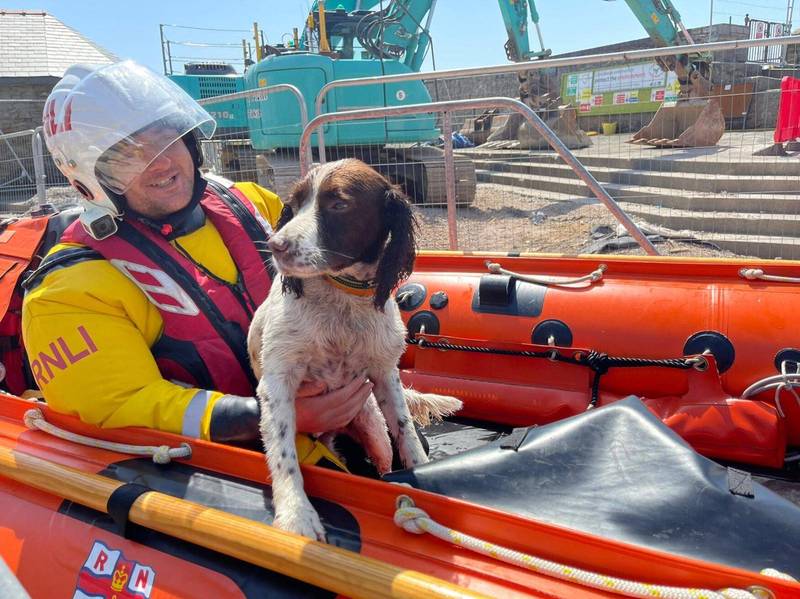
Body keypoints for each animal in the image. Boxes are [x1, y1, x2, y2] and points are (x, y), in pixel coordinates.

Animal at [250, 159, 462, 544]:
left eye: (339, 204)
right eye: (295, 204)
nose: (276, 245)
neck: (342, 297)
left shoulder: (385, 373)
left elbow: (406, 434)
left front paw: (423, 476)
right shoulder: (277, 382)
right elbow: (284, 455)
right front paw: (296, 514)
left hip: (374, 429)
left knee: (382, 463)